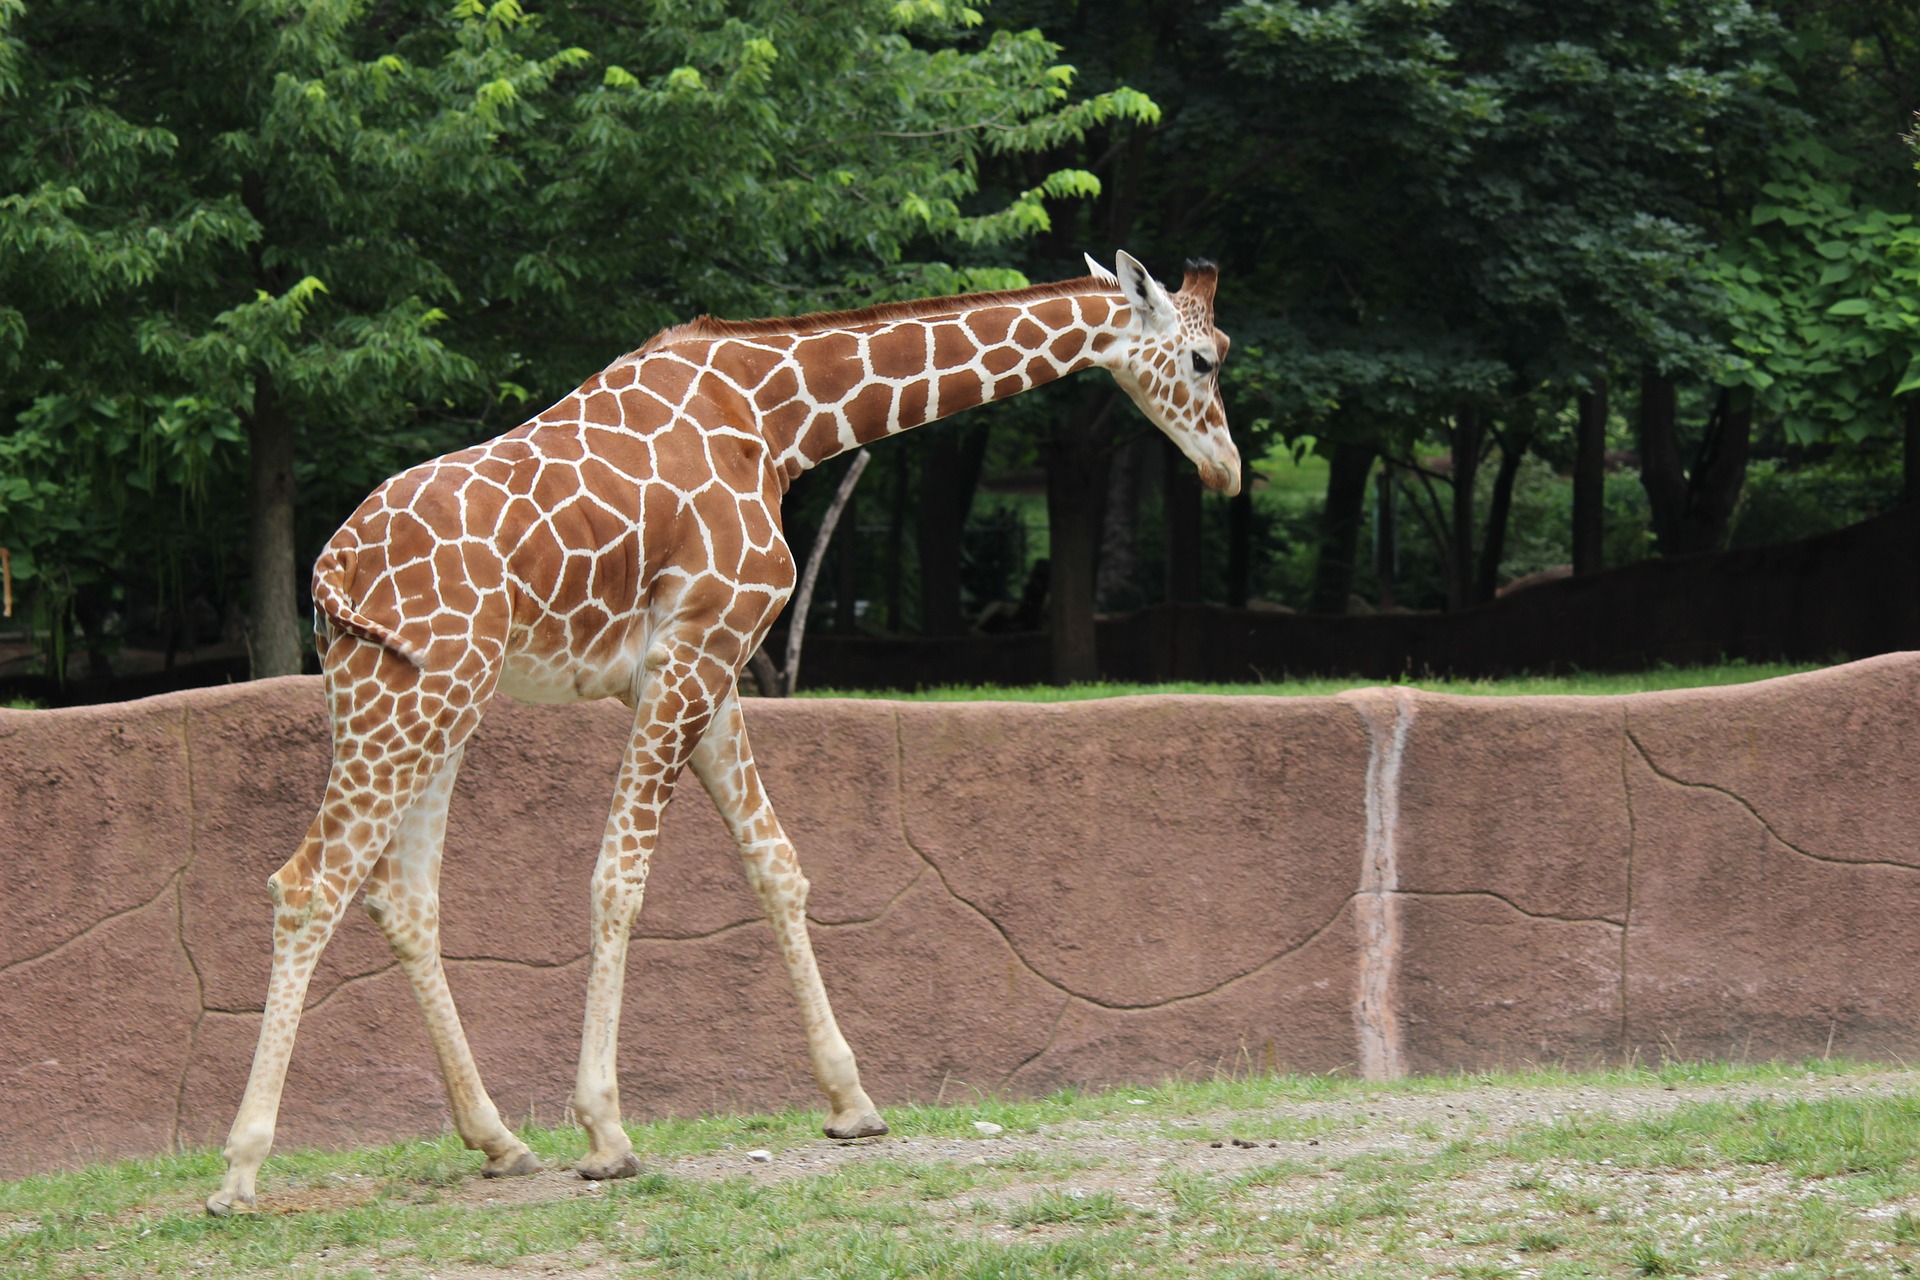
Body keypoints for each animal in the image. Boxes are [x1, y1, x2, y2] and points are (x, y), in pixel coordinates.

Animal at [202, 247, 1236, 1212]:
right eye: (1206, 356)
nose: (1223, 471)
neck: (781, 421)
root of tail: (329, 573)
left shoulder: (712, 667)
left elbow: (775, 863)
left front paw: (852, 1102)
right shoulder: (694, 648)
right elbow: (619, 877)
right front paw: (606, 1133)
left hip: (417, 696)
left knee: (401, 895)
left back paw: (497, 1141)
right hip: (417, 694)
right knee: (311, 882)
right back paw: (241, 1168)